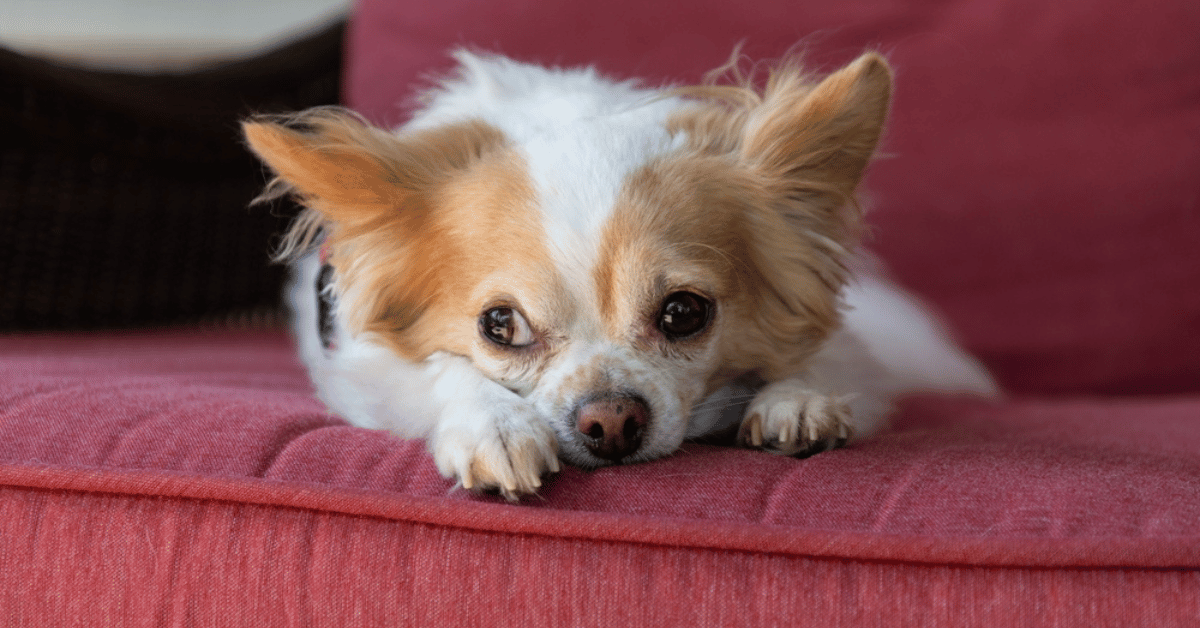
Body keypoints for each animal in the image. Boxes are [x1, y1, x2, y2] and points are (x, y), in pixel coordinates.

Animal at [241, 49, 993, 501]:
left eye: (684, 313)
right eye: (500, 325)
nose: (611, 421)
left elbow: (828, 360)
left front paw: (799, 399)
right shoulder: (360, 367)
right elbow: (440, 368)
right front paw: (494, 425)